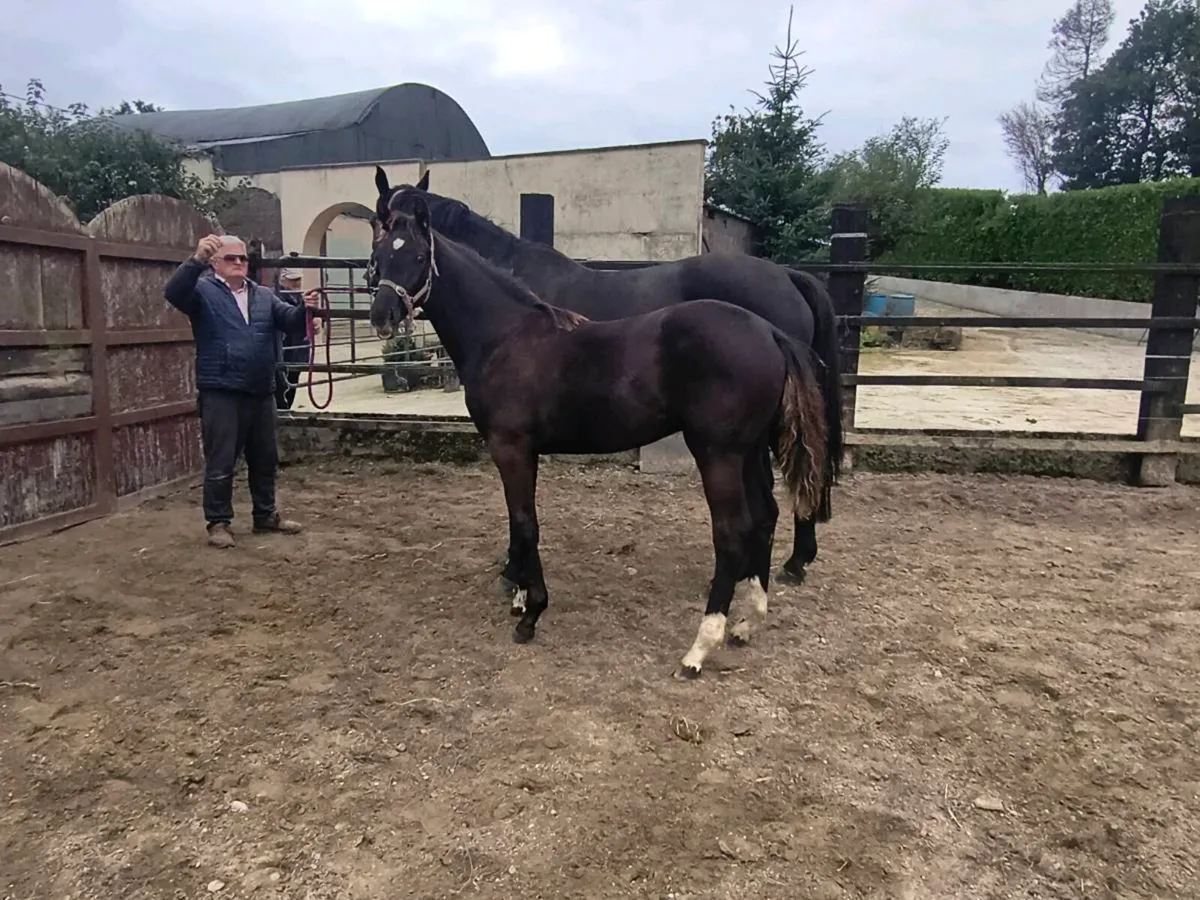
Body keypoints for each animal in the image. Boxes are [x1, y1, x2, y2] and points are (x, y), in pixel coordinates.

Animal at [367, 192, 830, 679]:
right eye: (379, 255)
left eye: (419, 256)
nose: (382, 315)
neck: (506, 336)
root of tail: (768, 332)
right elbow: (519, 522)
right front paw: (520, 597)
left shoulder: (512, 448)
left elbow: (525, 523)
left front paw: (531, 612)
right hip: (749, 451)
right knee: (764, 516)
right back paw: (748, 620)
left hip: (717, 454)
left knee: (732, 533)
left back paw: (699, 649)